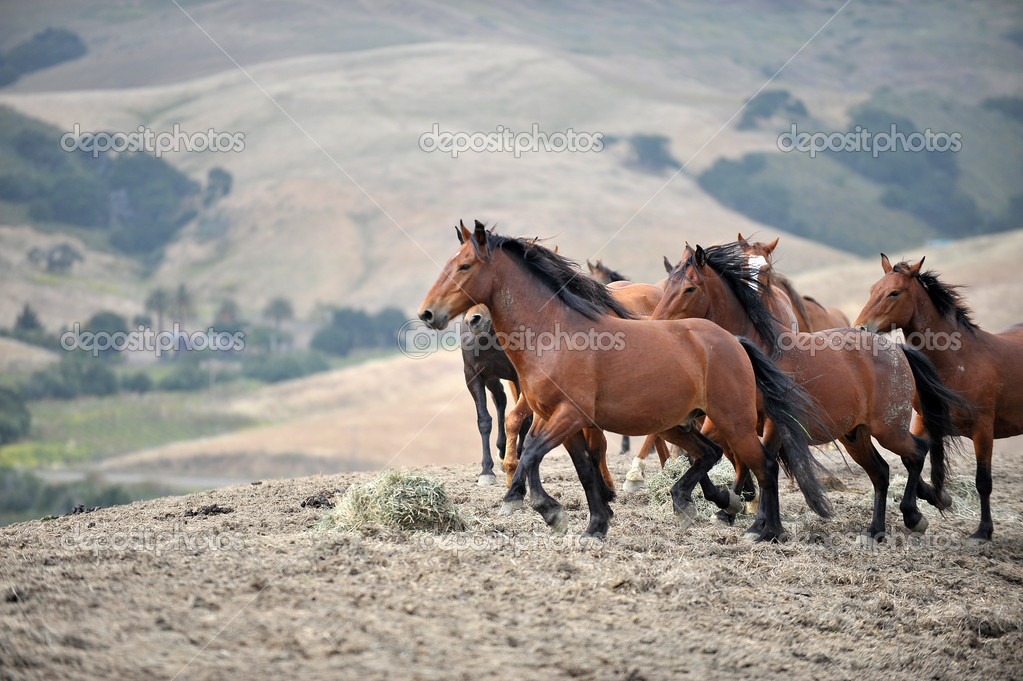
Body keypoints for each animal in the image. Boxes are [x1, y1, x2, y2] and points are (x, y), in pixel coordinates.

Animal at [419, 220, 832, 541]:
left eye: (465, 266)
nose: (427, 313)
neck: (554, 332)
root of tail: (734, 340)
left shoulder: (570, 415)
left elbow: (534, 452)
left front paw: (546, 510)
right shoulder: (557, 419)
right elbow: (579, 467)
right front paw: (593, 525)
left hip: (734, 420)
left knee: (764, 464)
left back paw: (764, 529)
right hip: (677, 423)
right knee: (710, 454)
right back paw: (697, 502)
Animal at [650, 242, 968, 540]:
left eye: (689, 288)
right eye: (667, 284)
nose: (655, 324)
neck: (762, 352)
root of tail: (898, 350)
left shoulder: (766, 423)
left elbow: (762, 463)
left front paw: (758, 522)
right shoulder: (729, 420)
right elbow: (707, 454)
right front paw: (728, 505)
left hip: (887, 429)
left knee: (917, 451)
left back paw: (913, 515)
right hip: (856, 435)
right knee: (881, 472)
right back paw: (874, 530)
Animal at [854, 255, 1023, 543]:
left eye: (894, 292)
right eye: (872, 289)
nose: (859, 329)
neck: (959, 360)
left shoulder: (982, 430)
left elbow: (983, 481)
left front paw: (983, 531)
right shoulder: (924, 420)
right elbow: (911, 458)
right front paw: (935, 499)